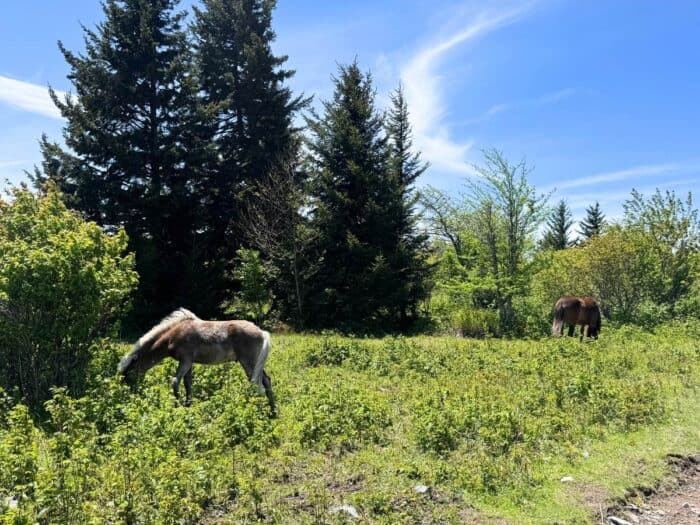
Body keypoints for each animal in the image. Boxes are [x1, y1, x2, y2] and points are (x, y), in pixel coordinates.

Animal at [117, 308, 276, 415]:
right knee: (266, 380)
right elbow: (188, 384)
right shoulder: (189, 364)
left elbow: (175, 382)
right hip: (255, 364)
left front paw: (178, 407)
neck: (173, 335)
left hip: (248, 363)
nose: (131, 395)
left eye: (128, 375)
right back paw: (273, 411)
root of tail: (261, 332)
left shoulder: (185, 361)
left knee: (256, 384)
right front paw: (188, 406)